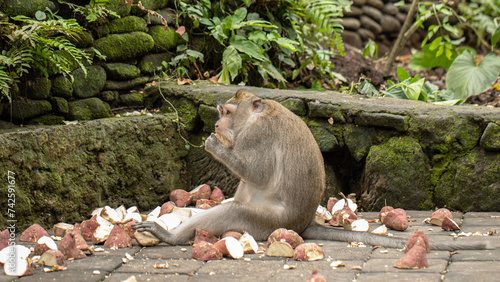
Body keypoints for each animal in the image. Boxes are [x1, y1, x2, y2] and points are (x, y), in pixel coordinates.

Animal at [134, 89, 496, 250]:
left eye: (226, 111)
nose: (216, 124)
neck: (256, 115)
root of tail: (304, 223)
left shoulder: (257, 135)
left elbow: (260, 173)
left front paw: (215, 145)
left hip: (270, 223)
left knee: (234, 211)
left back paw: (169, 237)